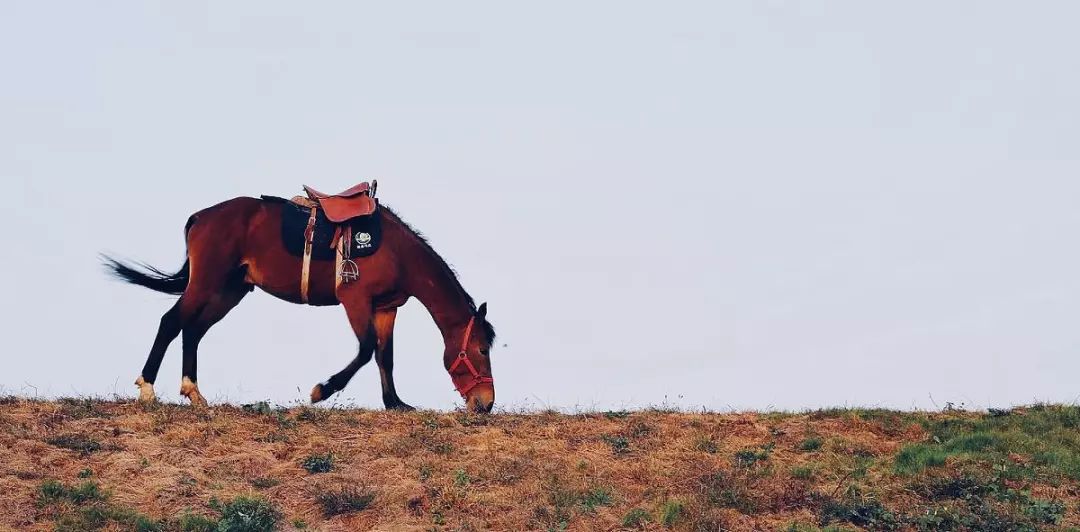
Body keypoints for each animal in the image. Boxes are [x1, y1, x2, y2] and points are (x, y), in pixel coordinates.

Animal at [101, 188, 496, 412]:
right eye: (481, 349)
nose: (486, 404)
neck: (397, 251)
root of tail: (201, 217)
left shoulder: (386, 308)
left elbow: (386, 356)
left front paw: (395, 403)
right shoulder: (355, 300)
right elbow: (367, 349)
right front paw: (323, 390)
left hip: (228, 291)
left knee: (193, 330)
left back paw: (193, 392)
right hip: (207, 283)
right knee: (171, 322)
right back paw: (148, 388)